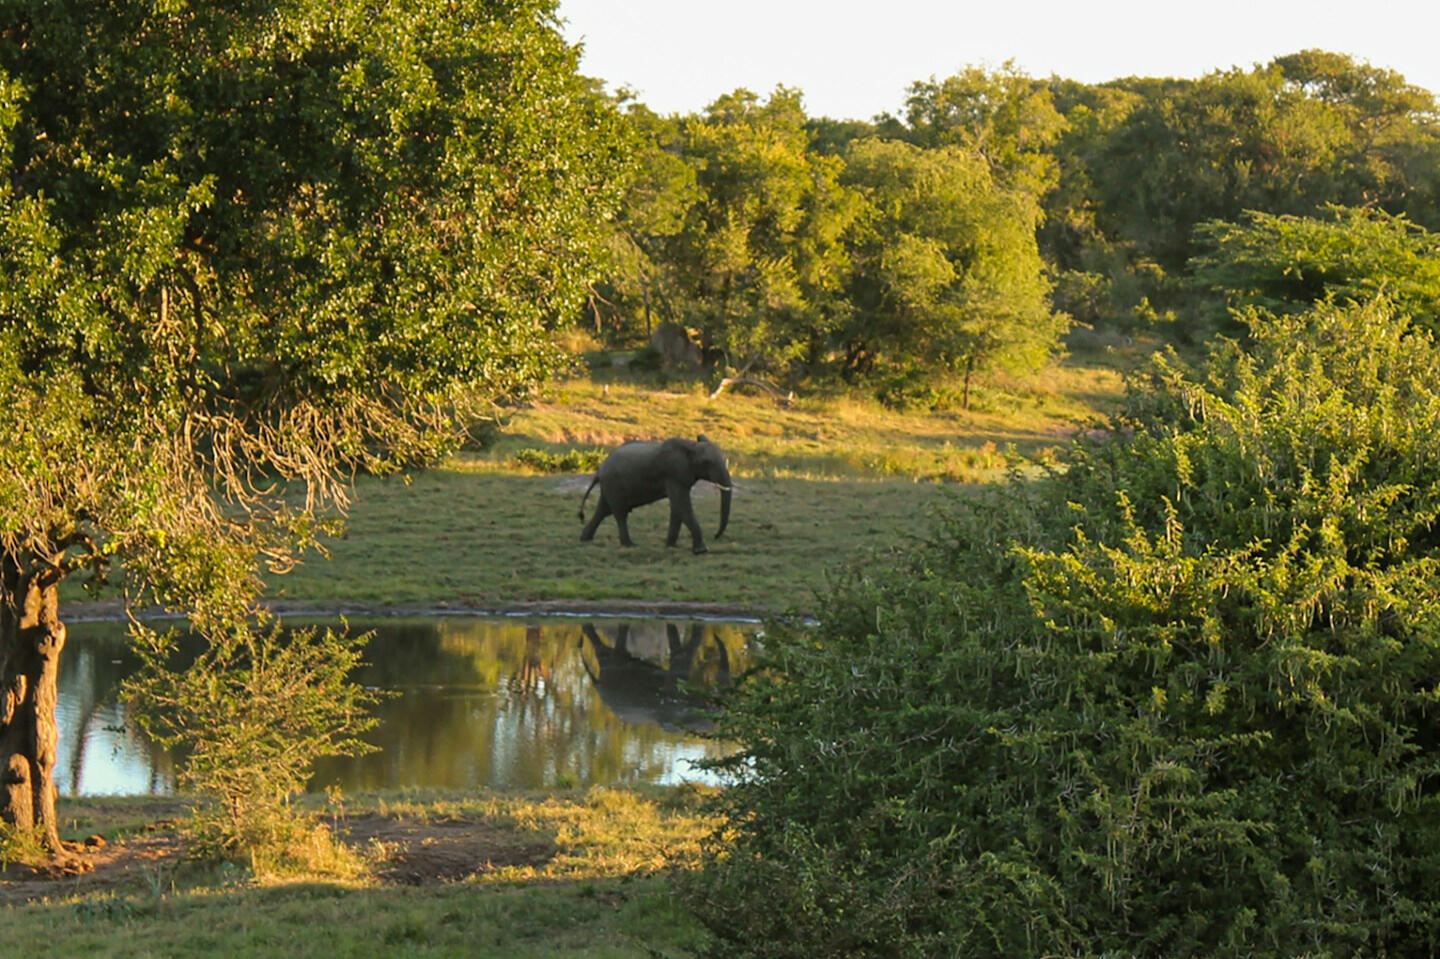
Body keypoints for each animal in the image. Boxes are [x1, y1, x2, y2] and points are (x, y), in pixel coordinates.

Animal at [578, 435, 732, 553]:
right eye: (707, 462)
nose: (715, 536)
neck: (691, 446)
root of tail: (599, 469)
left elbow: (677, 507)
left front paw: (671, 547)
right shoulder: (673, 474)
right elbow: (682, 504)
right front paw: (701, 551)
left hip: (610, 486)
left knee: (603, 510)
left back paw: (585, 539)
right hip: (614, 484)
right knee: (620, 513)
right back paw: (630, 546)